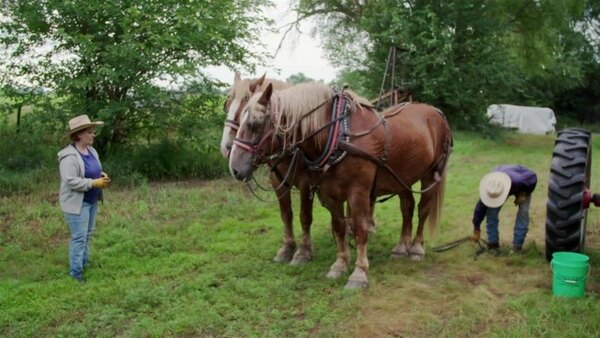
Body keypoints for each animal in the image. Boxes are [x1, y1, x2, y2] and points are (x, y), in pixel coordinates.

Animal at [219, 72, 314, 266]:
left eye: (246, 101)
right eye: (228, 102)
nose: (226, 147)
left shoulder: (306, 182)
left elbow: (305, 216)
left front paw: (303, 252)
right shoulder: (277, 180)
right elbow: (286, 213)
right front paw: (287, 248)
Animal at [229, 82, 450, 288]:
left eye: (255, 124)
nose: (235, 168)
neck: (338, 135)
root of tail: (436, 112)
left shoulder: (356, 193)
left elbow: (359, 229)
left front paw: (359, 272)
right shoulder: (329, 194)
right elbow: (339, 227)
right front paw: (340, 265)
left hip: (430, 174)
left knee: (423, 210)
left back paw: (416, 248)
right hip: (402, 179)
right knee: (407, 208)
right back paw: (401, 247)